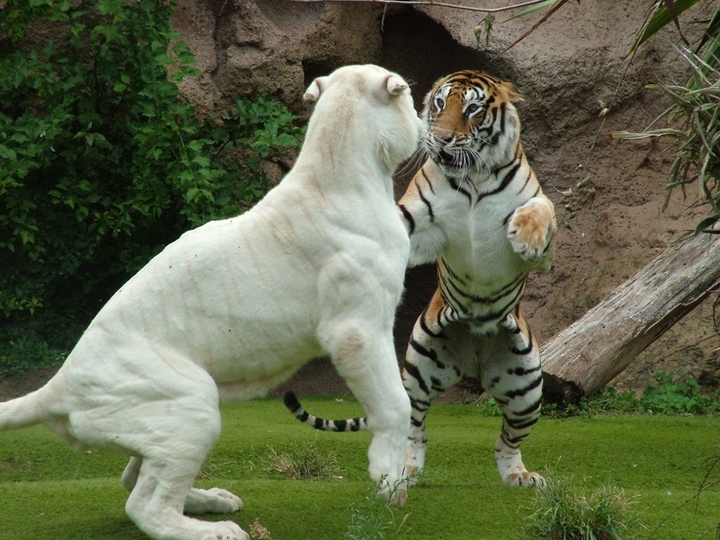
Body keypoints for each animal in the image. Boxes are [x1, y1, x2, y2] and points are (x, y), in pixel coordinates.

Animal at [284, 69, 557, 489]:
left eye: (473, 109)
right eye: (440, 104)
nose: (441, 138)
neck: (474, 176)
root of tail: (474, 364)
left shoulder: (540, 224)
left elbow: (542, 209)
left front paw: (526, 237)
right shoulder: (416, 218)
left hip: (528, 387)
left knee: (506, 441)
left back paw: (519, 476)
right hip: (417, 373)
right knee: (413, 428)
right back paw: (406, 472)